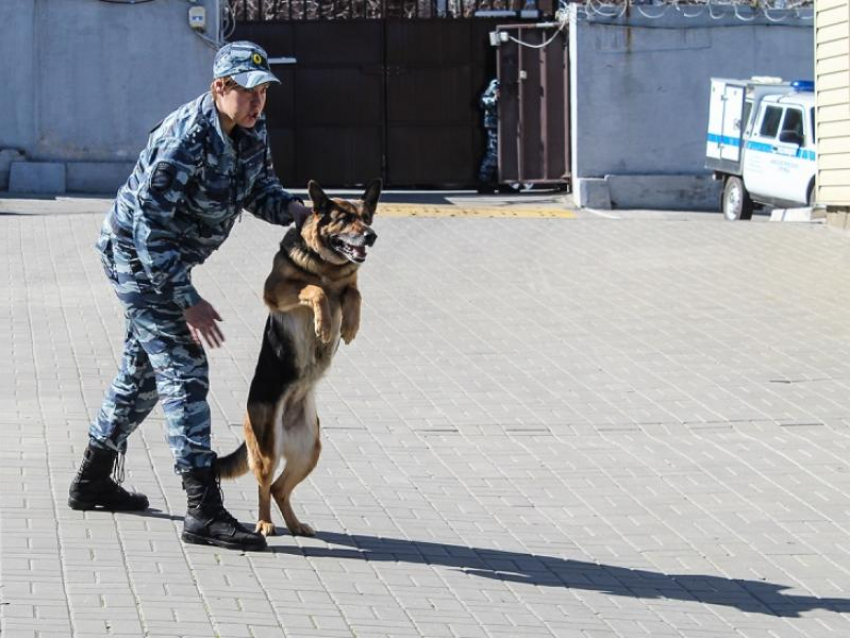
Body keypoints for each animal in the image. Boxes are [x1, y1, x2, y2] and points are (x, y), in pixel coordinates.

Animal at [217, 181, 380, 540]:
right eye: (345, 219)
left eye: (366, 217)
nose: (371, 236)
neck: (327, 266)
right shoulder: (276, 290)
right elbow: (315, 291)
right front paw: (325, 326)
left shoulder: (348, 285)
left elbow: (354, 293)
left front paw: (349, 325)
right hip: (268, 449)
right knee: (264, 487)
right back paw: (265, 524)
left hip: (309, 451)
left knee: (280, 489)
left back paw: (295, 525)